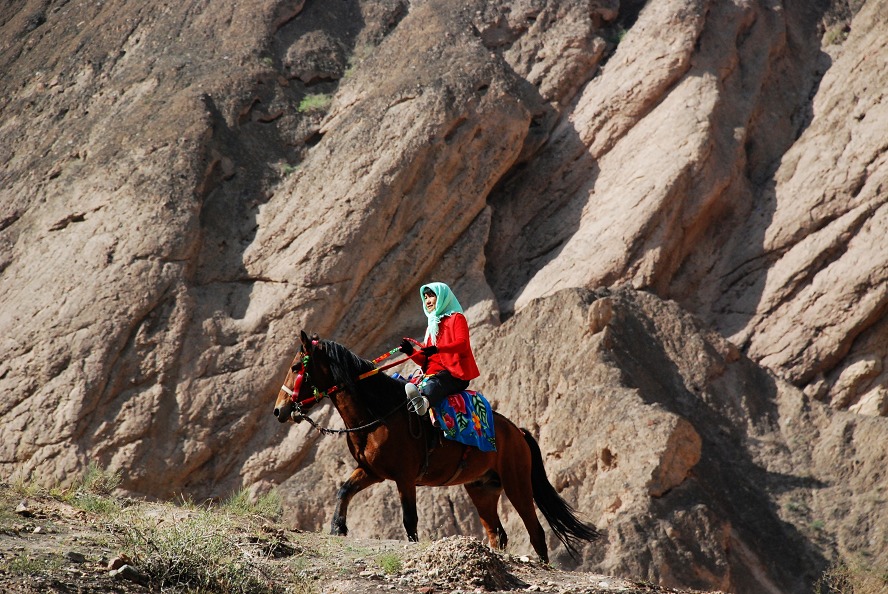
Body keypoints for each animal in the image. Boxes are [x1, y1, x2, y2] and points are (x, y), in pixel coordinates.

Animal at [270, 330, 600, 560]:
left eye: (297, 366)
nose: (279, 410)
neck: (378, 413)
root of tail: (516, 431)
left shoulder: (404, 478)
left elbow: (409, 520)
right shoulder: (372, 471)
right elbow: (344, 490)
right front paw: (338, 527)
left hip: (517, 484)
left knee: (536, 532)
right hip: (482, 489)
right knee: (498, 534)